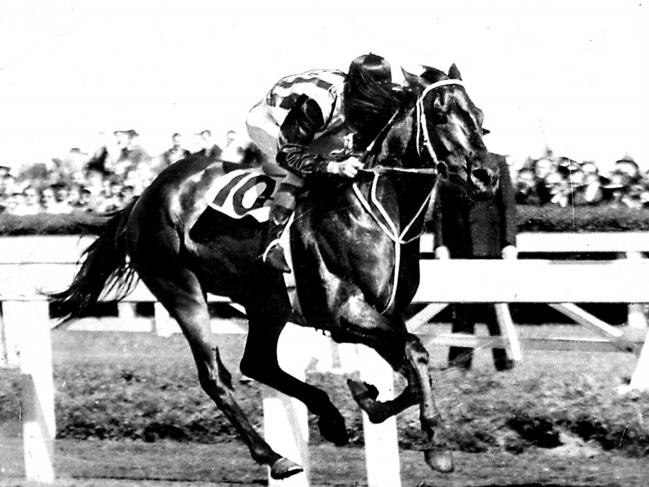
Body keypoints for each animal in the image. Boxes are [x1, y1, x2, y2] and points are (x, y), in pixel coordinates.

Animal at [52, 65, 496, 480]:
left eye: (478, 115)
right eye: (439, 114)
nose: (486, 175)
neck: (373, 209)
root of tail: (145, 195)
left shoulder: (382, 315)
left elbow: (409, 365)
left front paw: (368, 398)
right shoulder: (345, 314)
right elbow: (417, 352)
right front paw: (437, 445)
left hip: (266, 303)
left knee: (258, 363)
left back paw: (328, 417)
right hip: (179, 287)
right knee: (215, 376)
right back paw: (274, 456)